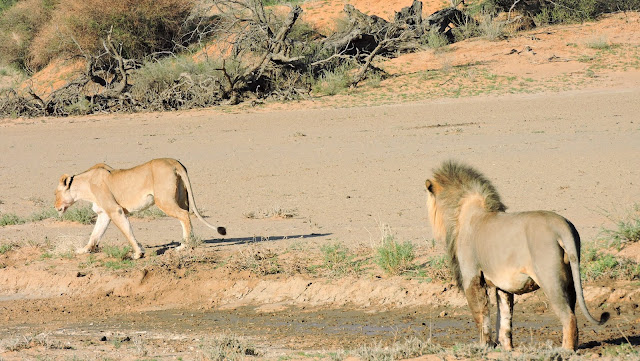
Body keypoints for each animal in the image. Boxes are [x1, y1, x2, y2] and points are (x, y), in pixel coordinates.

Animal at [54, 158, 228, 258]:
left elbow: (127, 231)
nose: (55, 207)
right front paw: (84, 250)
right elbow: (95, 235)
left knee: (184, 216)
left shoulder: (114, 210)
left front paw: (138, 253)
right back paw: (188, 242)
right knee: (185, 217)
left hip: (163, 200)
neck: (83, 186)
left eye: (55, 193)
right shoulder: (104, 213)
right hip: (180, 198)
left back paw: (184, 245)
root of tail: (174, 162)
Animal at [424, 160, 608, 348]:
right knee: (572, 311)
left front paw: (483, 347)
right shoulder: (503, 285)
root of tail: (561, 225)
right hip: (570, 276)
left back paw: (565, 350)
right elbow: (504, 319)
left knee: (568, 317)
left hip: (550, 279)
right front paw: (506, 348)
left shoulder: (472, 276)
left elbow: (481, 315)